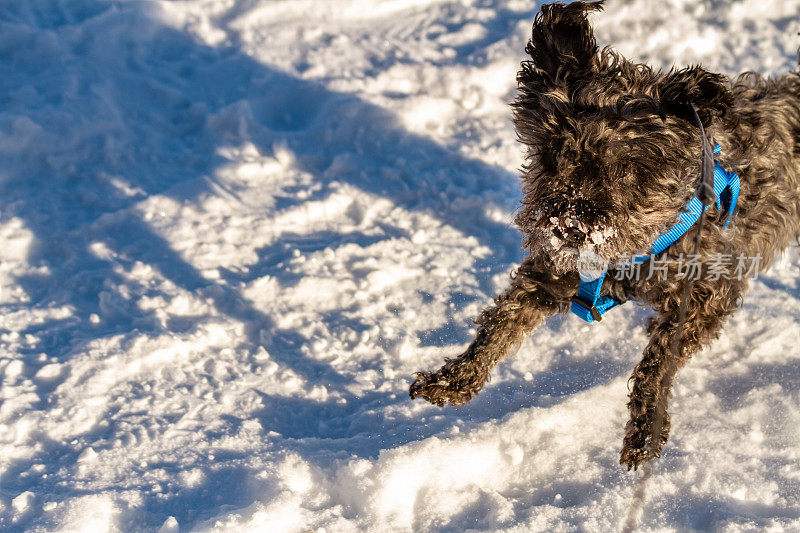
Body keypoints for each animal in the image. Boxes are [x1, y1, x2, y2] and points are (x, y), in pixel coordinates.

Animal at [410, 2, 800, 472]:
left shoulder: (705, 296)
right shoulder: (555, 272)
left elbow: (657, 363)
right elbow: (502, 321)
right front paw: (455, 378)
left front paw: (646, 428)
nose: (569, 226)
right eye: (551, 153)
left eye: (628, 167)